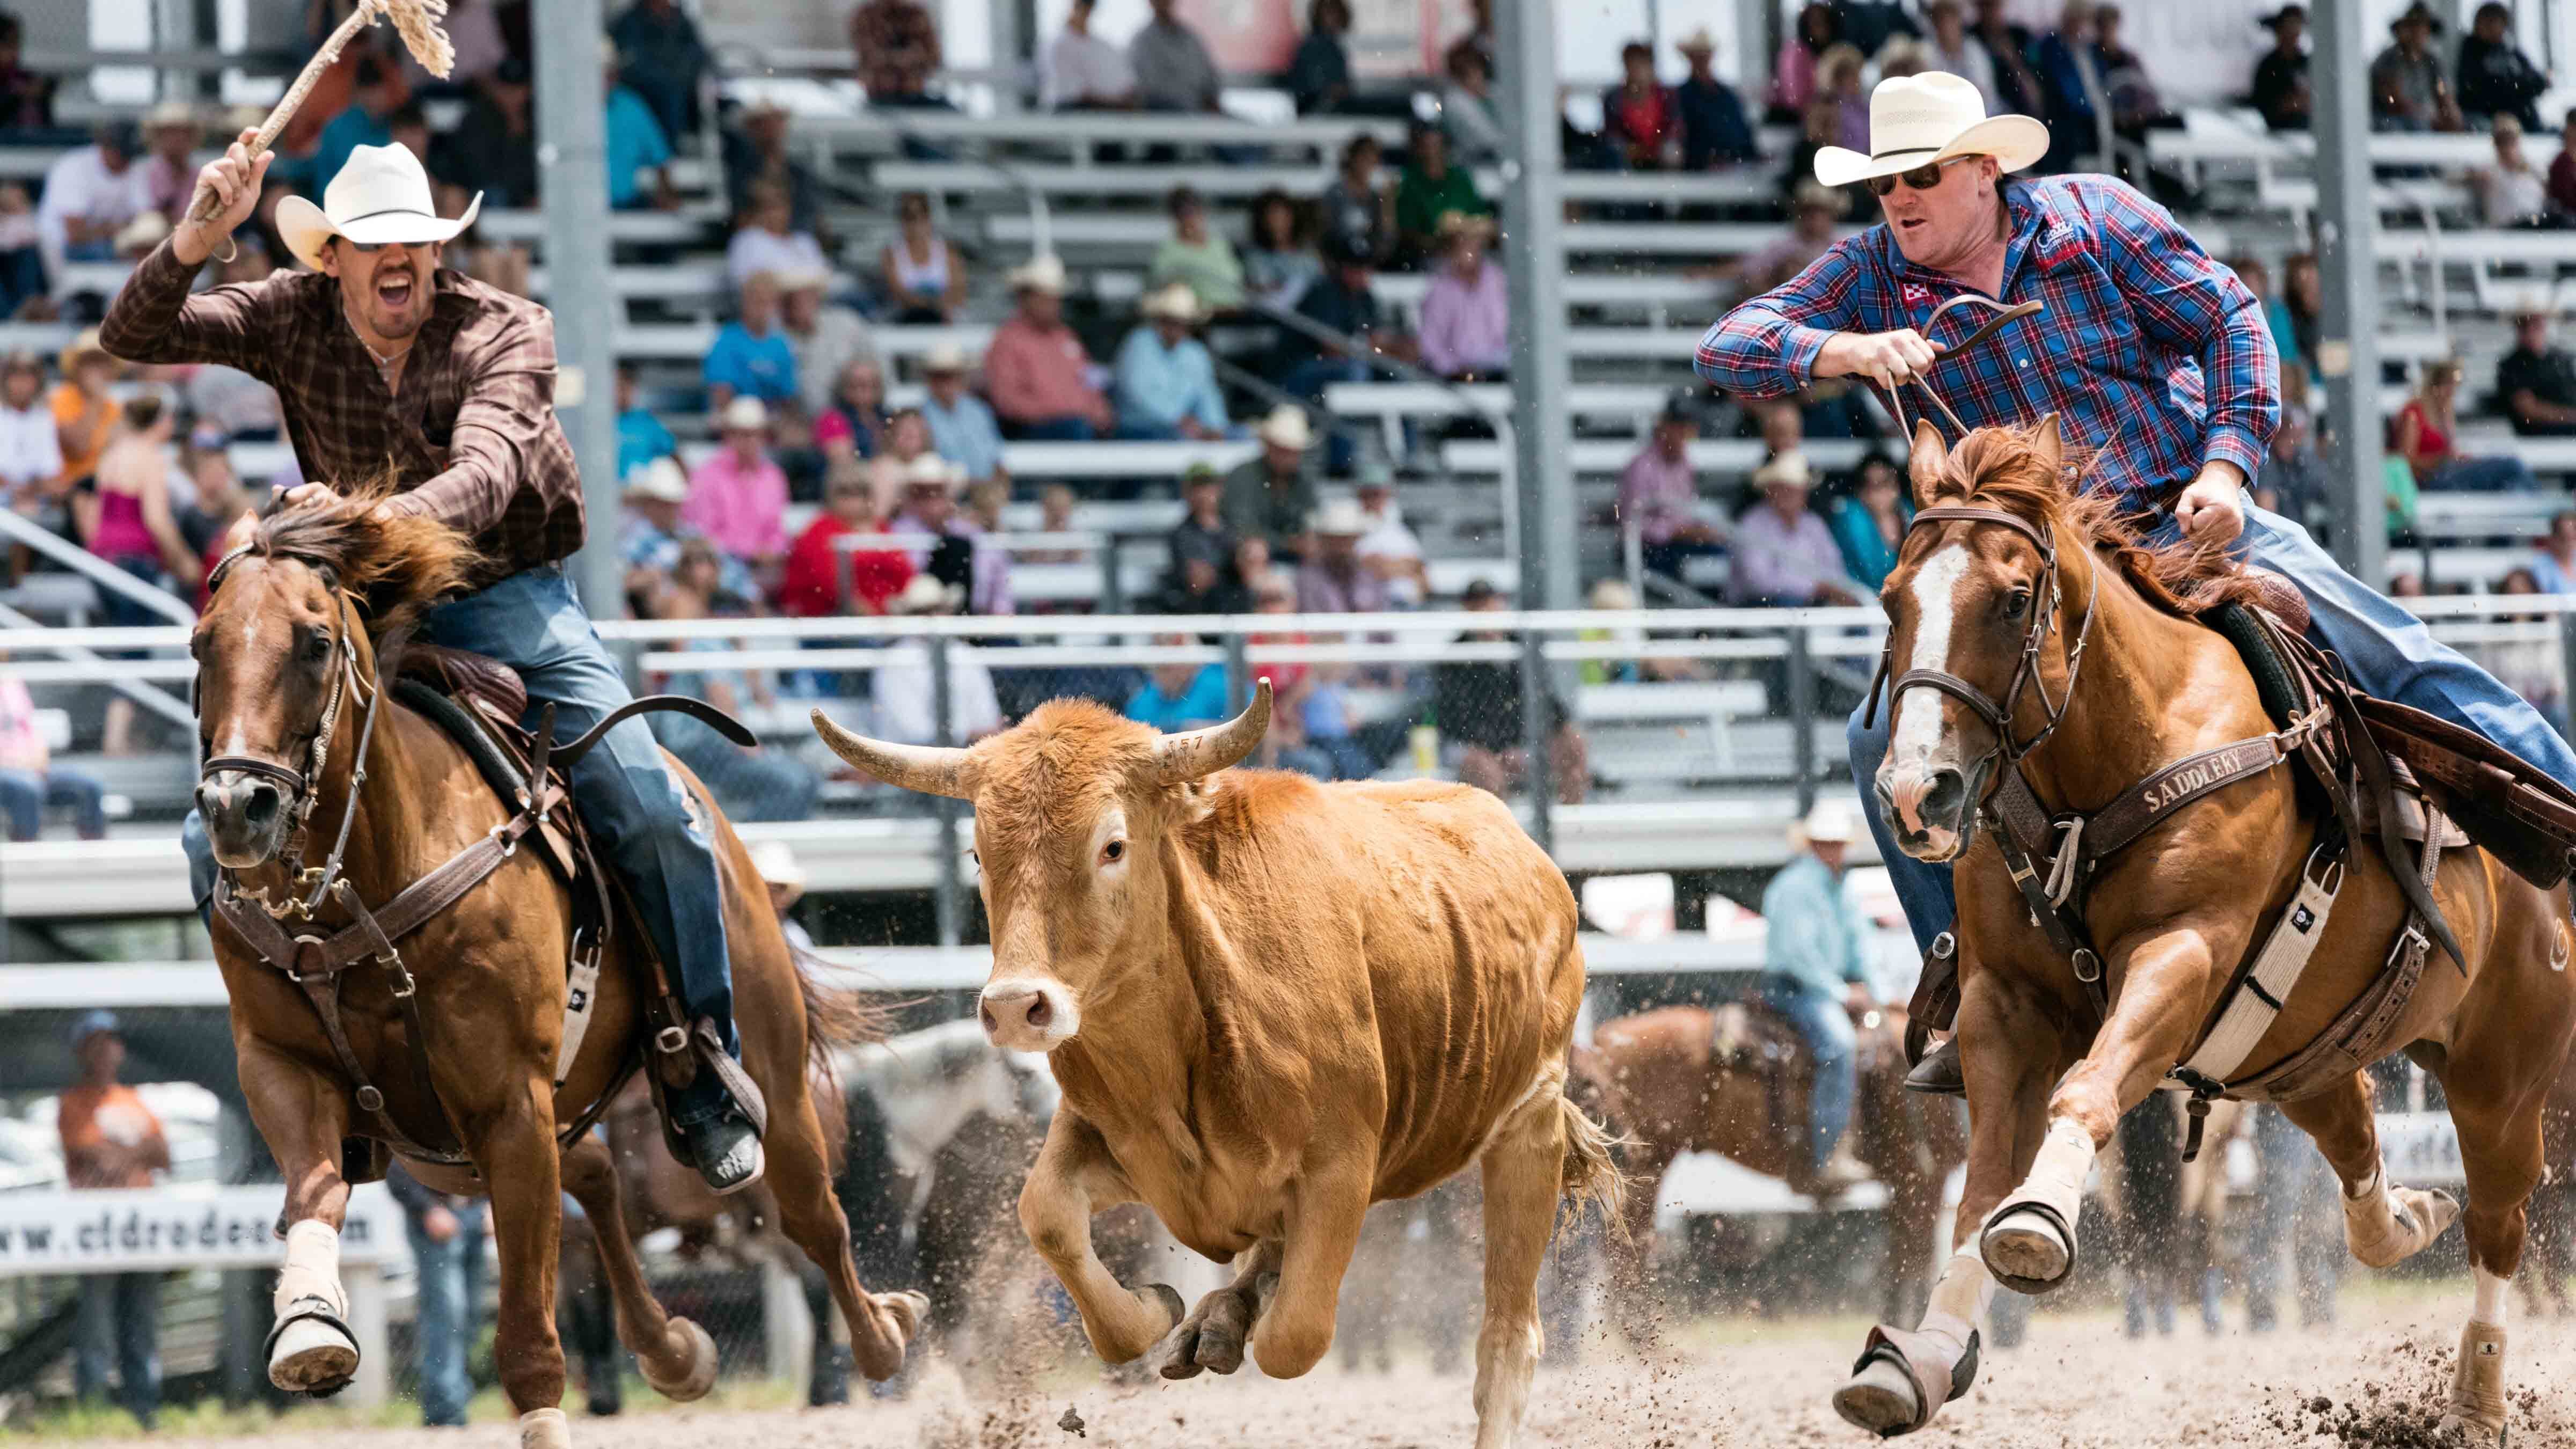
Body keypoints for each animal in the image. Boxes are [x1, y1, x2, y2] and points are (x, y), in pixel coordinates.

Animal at [810, 683, 1622, 1448]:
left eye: (1112, 846)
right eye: (980, 855)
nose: (1016, 1006)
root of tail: (1532, 859)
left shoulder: (1341, 1172)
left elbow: (1297, 1334)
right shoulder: (1127, 1152)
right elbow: (1049, 1218)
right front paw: (1156, 1310)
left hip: (1529, 1128)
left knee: (1507, 1341)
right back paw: (1217, 1317)